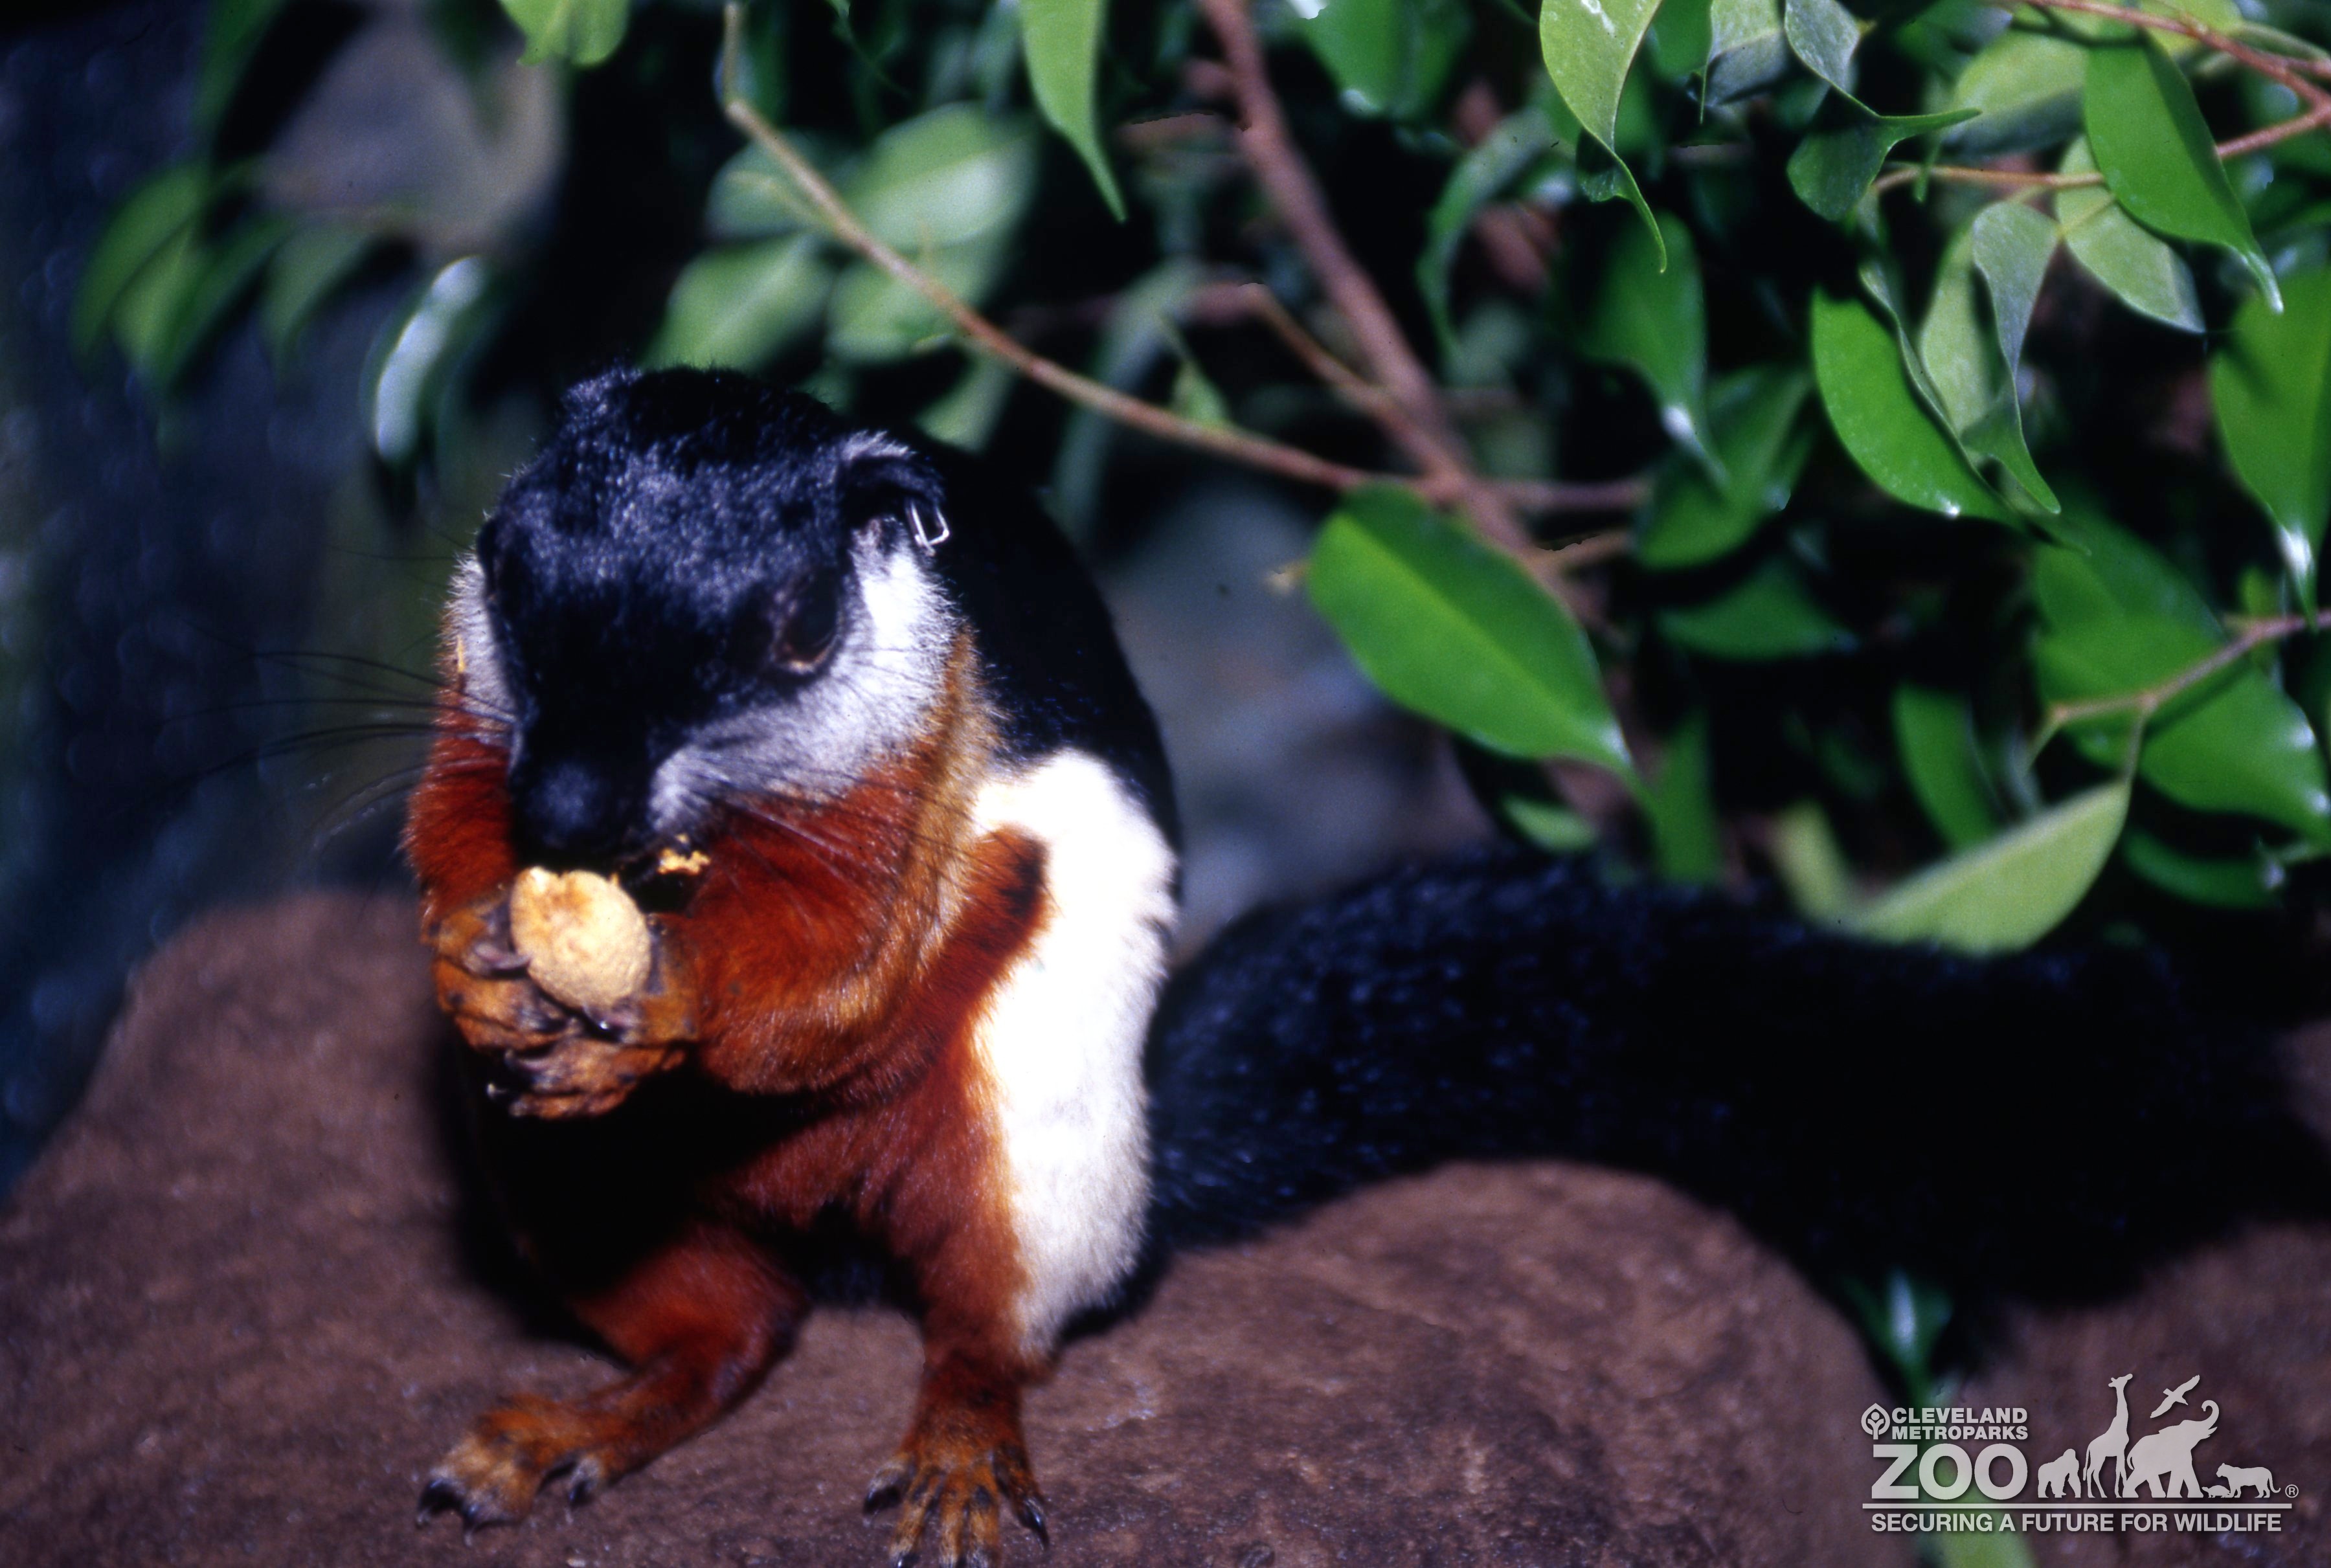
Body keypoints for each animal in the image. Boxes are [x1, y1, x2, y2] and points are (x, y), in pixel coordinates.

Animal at [407, 367, 2331, 1567]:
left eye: (795, 634)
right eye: (499, 561)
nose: (568, 814)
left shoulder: (936, 780)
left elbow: (837, 991)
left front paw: (655, 1007)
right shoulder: (471, 721)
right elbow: (449, 836)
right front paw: (485, 966)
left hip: (1037, 1148)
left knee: (985, 1307)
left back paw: (959, 1437)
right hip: (579, 1192)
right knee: (732, 1330)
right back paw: (583, 1415)